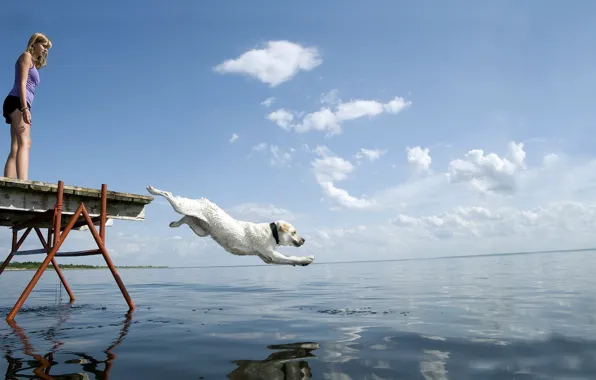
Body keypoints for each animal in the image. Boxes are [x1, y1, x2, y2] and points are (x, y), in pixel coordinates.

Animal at [146, 186, 314, 266]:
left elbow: (289, 259)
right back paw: (153, 190)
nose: (304, 240)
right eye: (294, 232)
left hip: (200, 229)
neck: (272, 233)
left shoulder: (269, 258)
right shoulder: (272, 254)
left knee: (185, 219)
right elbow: (292, 256)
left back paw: (174, 224)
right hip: (181, 206)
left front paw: (304, 262)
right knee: (169, 194)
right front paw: (307, 258)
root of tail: (204, 200)